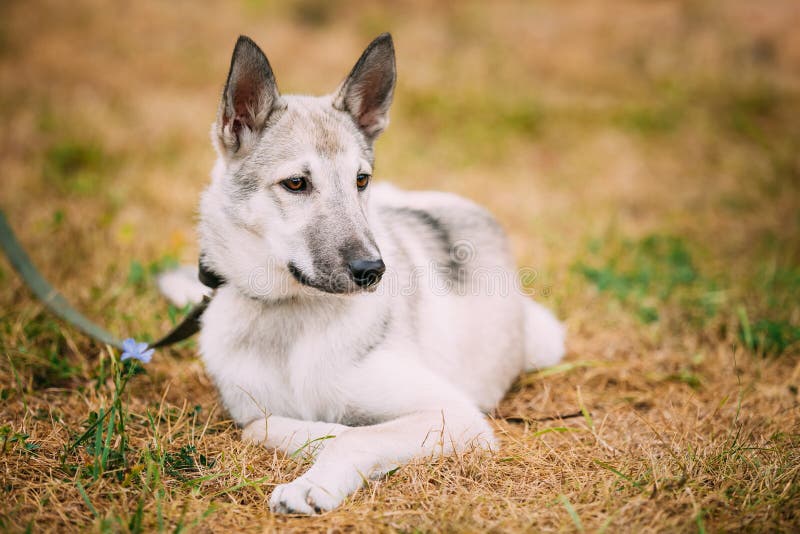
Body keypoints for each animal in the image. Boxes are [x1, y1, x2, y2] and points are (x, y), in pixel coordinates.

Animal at [159, 32, 564, 516]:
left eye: (360, 180)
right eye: (296, 184)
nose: (373, 270)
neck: (292, 313)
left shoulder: (454, 415)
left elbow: (353, 437)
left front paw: (314, 482)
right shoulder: (252, 411)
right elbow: (268, 426)